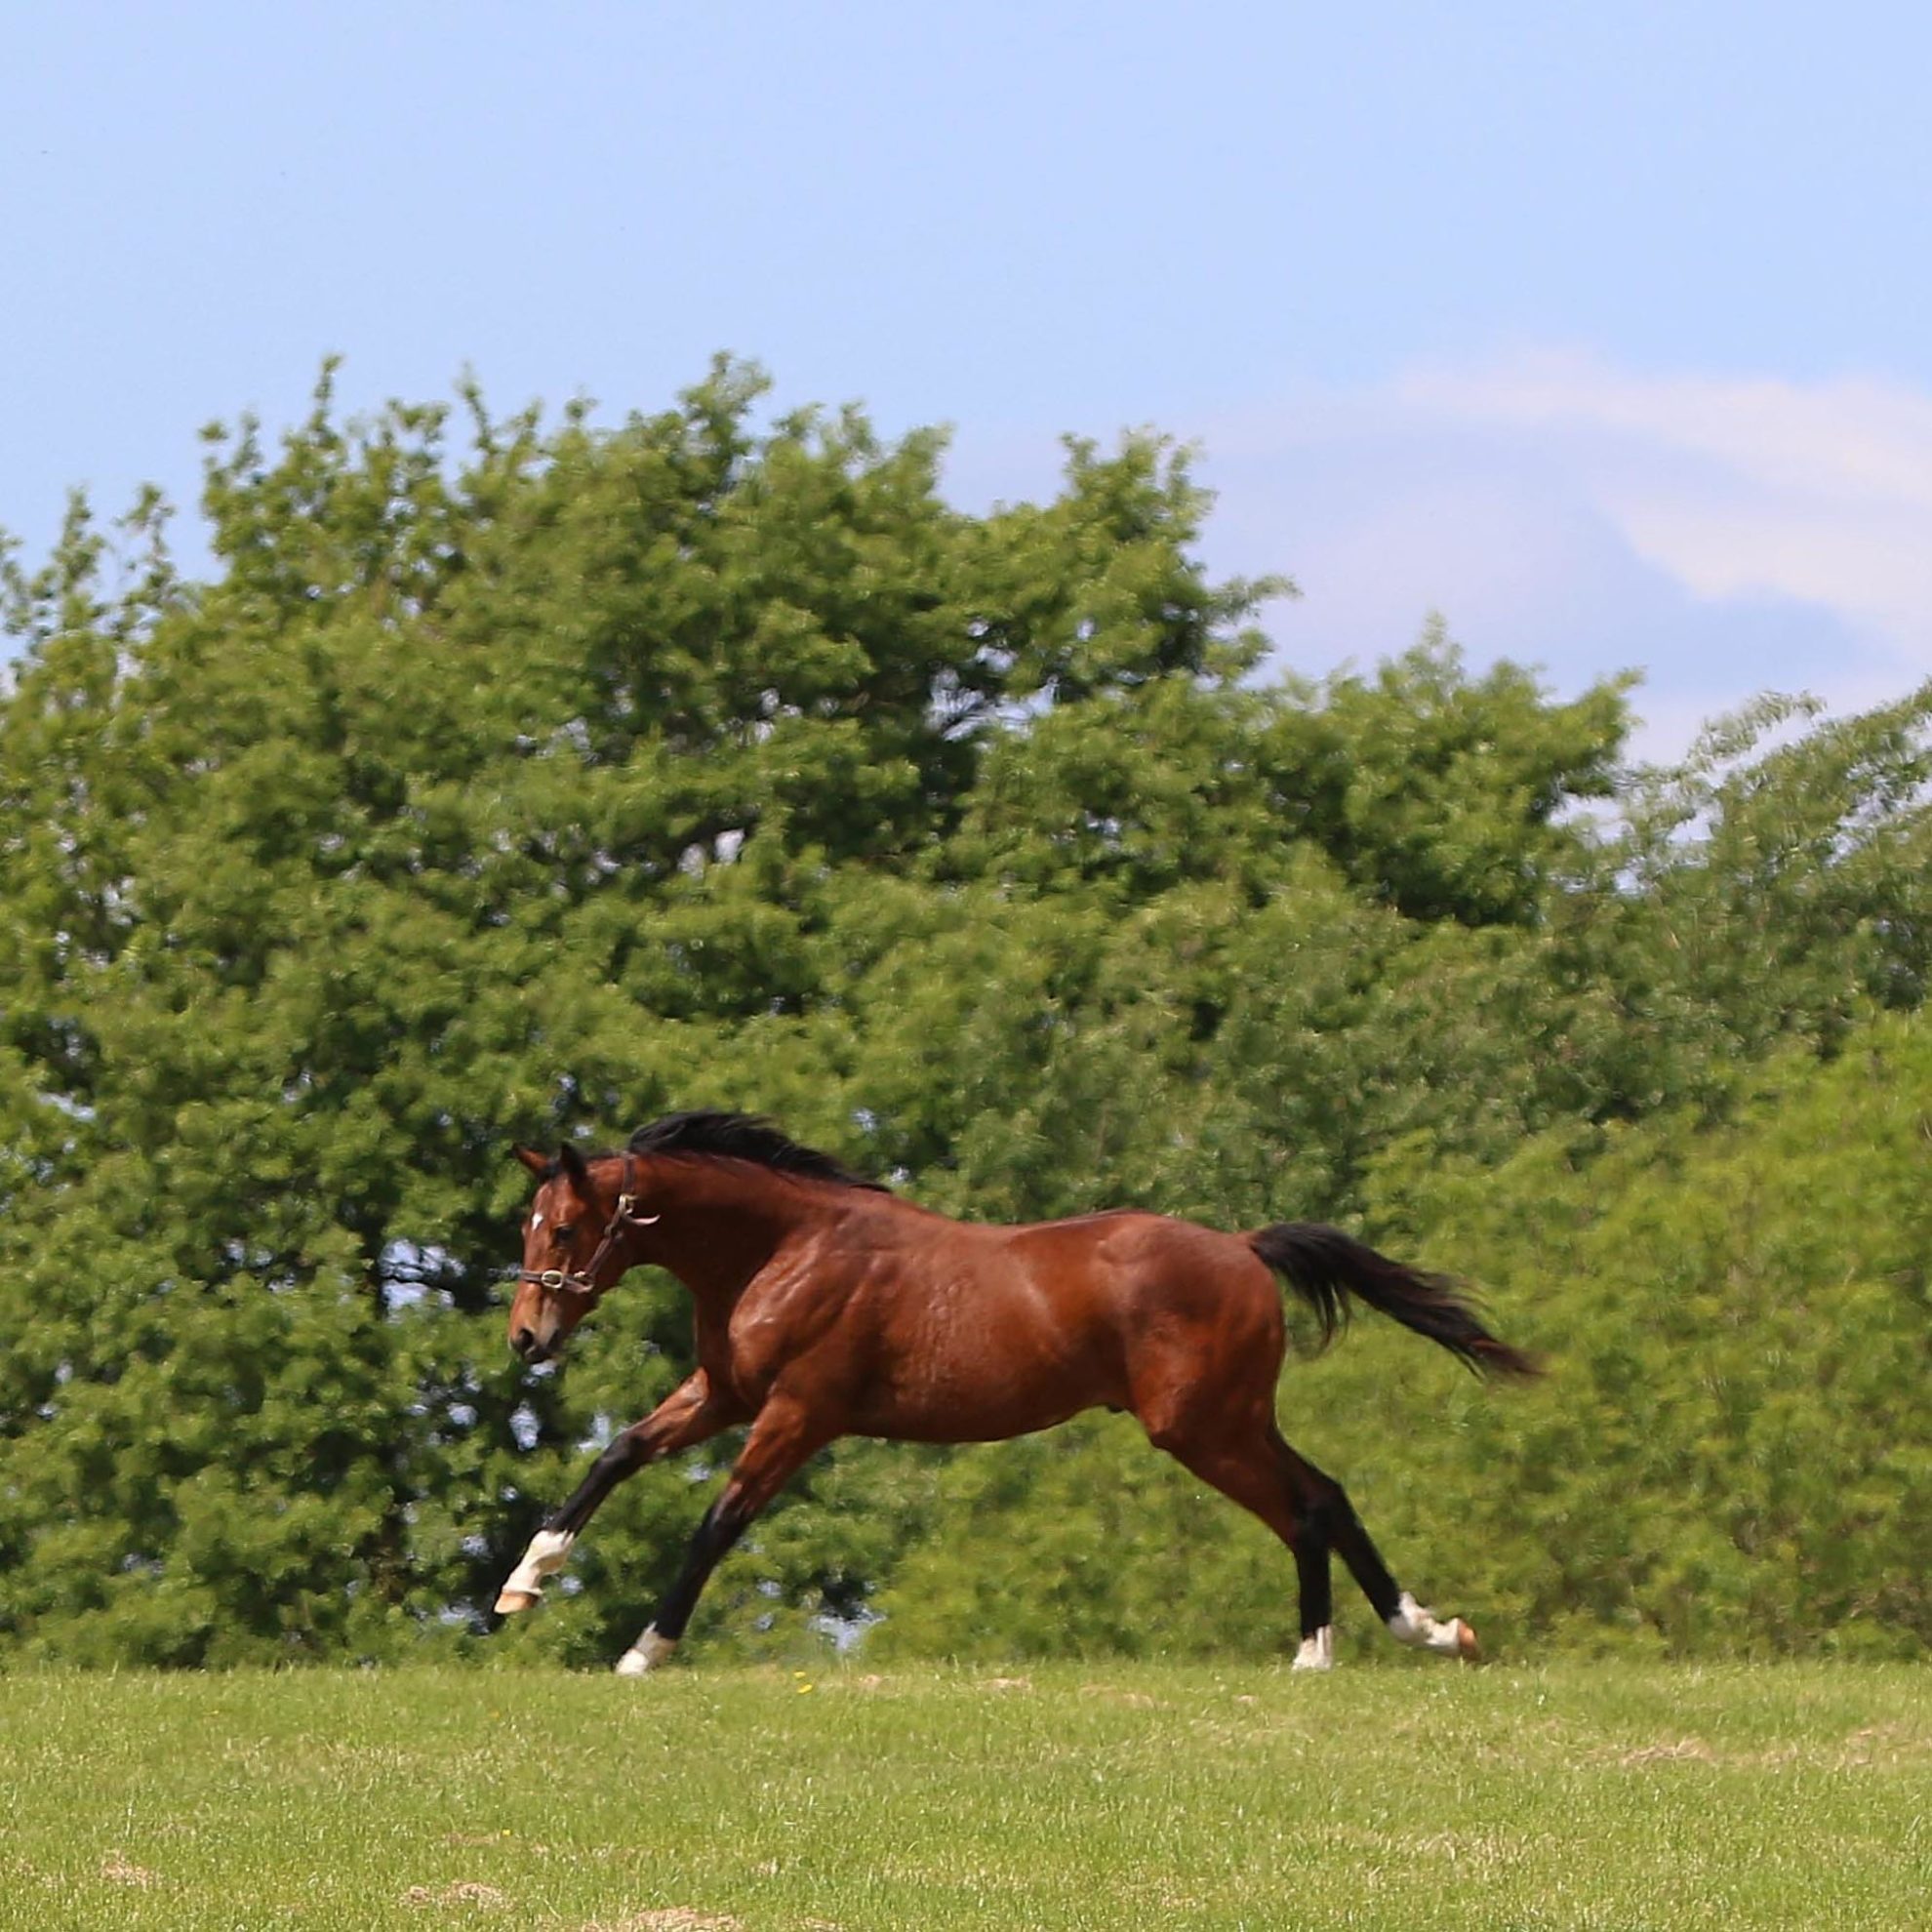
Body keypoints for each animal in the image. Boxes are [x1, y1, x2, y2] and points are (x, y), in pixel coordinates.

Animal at [498, 1120, 1538, 1676]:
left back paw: (1322, 1649)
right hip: (1229, 1423)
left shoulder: (797, 1415)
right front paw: (525, 1581)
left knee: (1307, 1505)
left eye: (566, 1228)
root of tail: (1243, 1248)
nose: (526, 1339)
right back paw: (1427, 1631)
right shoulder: (724, 1392)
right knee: (1323, 1496)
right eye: (529, 1223)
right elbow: (619, 1452)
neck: (784, 1250)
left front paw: (643, 1651)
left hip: (1204, 1428)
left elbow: (716, 1524)